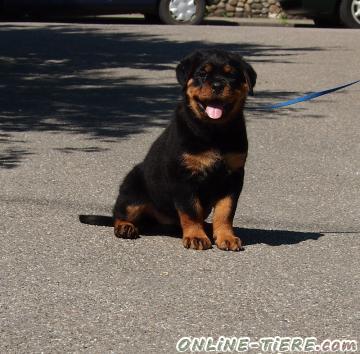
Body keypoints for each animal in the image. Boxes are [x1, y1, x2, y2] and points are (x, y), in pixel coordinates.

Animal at [80, 48, 258, 250]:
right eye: (202, 74)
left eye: (232, 75)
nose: (218, 85)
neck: (214, 132)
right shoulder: (183, 175)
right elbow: (191, 210)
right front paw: (196, 236)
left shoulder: (233, 176)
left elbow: (225, 211)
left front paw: (226, 237)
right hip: (133, 188)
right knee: (119, 212)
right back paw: (125, 227)